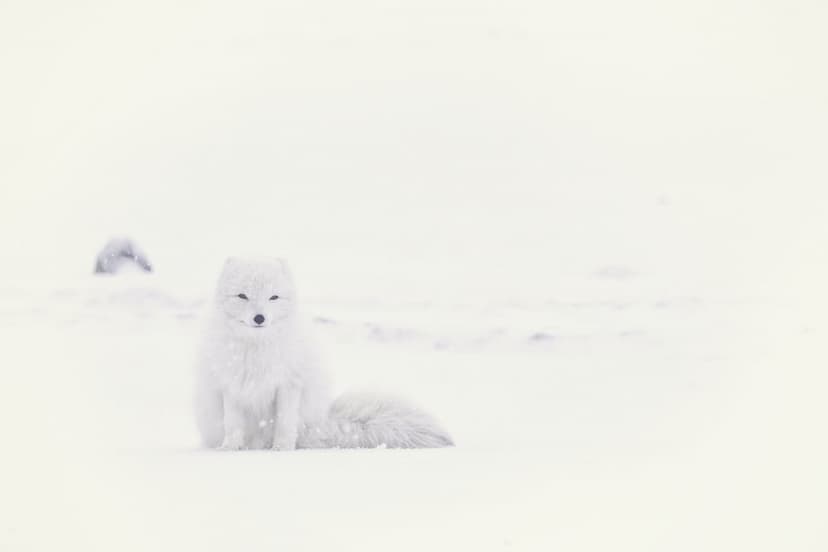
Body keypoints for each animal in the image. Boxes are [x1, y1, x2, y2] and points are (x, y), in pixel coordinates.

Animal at [194, 257, 453, 450]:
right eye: (242, 296)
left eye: (273, 297)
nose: (259, 318)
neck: (256, 348)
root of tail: (322, 422)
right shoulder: (231, 384)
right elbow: (233, 423)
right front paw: (230, 449)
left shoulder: (289, 384)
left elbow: (285, 421)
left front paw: (282, 449)